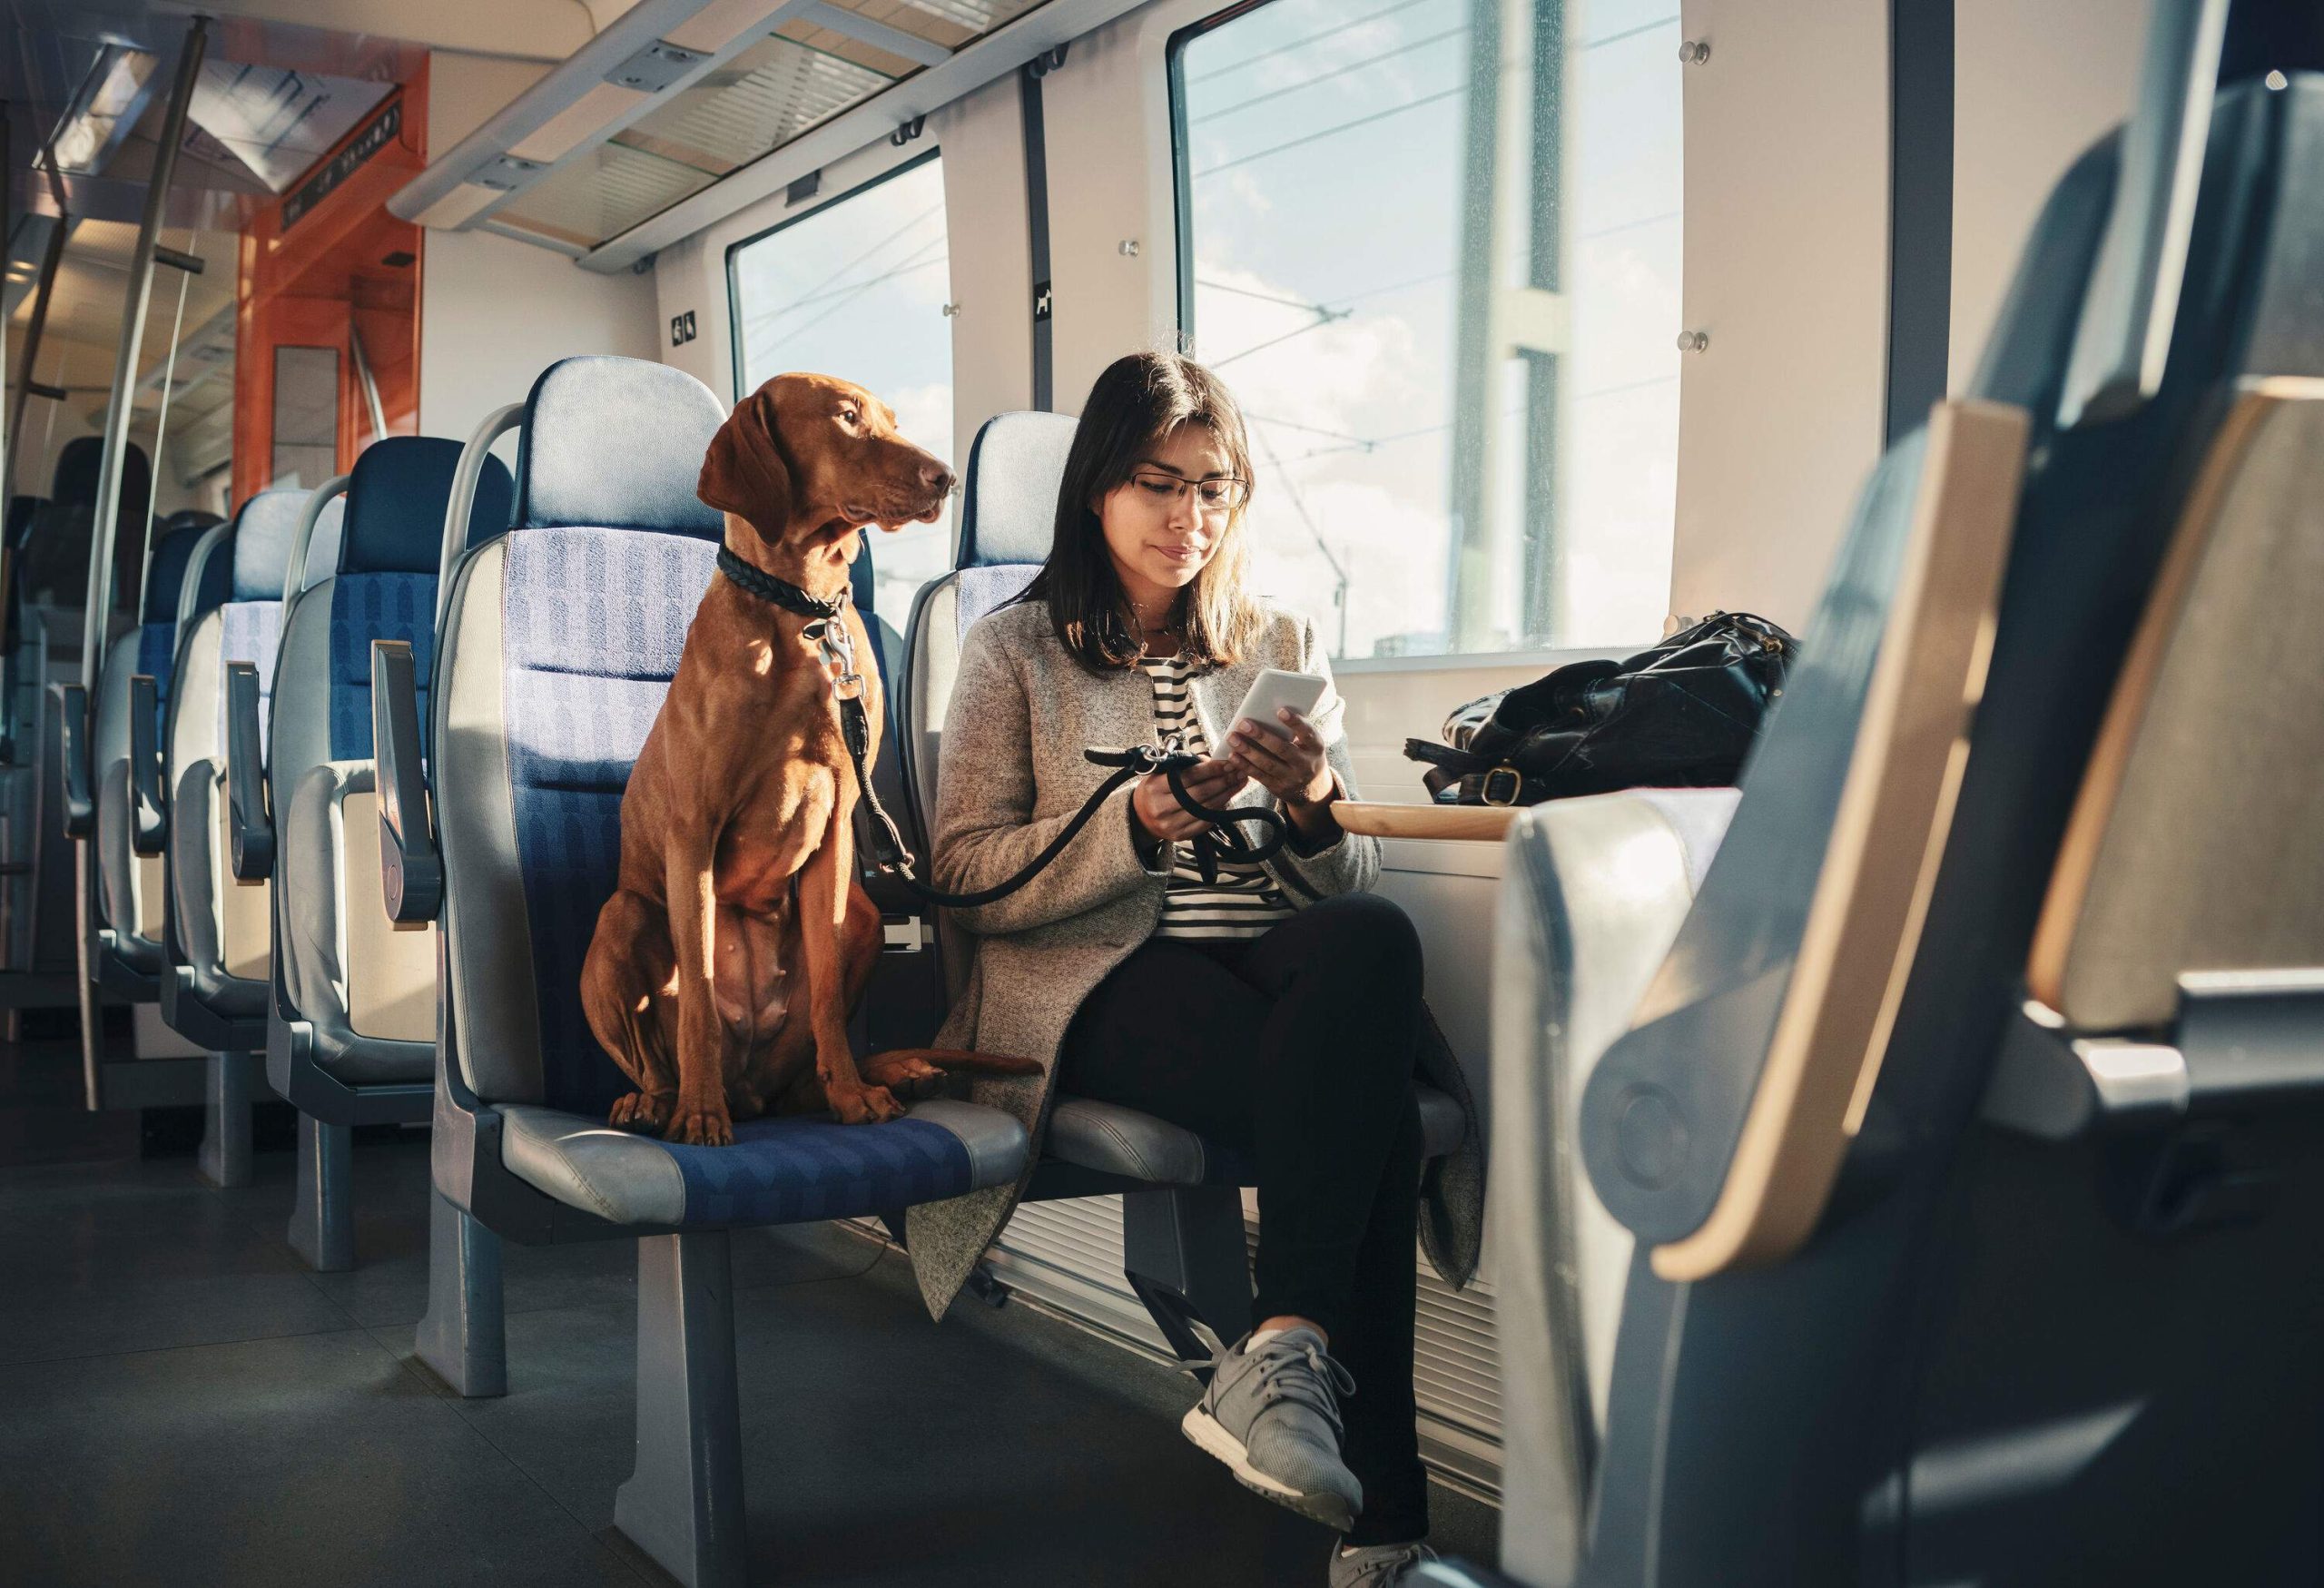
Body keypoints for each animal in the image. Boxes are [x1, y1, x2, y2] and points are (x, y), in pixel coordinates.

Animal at [581, 371, 1036, 1143]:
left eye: (890, 418)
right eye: (847, 417)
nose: (944, 477)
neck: (802, 611)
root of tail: (751, 1089)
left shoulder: (838, 830)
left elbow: (824, 996)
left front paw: (852, 1096)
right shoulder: (693, 831)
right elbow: (698, 999)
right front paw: (698, 1113)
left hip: (862, 914)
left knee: (798, 1073)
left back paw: (874, 1079)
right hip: (623, 914)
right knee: (654, 1050)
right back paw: (662, 1100)